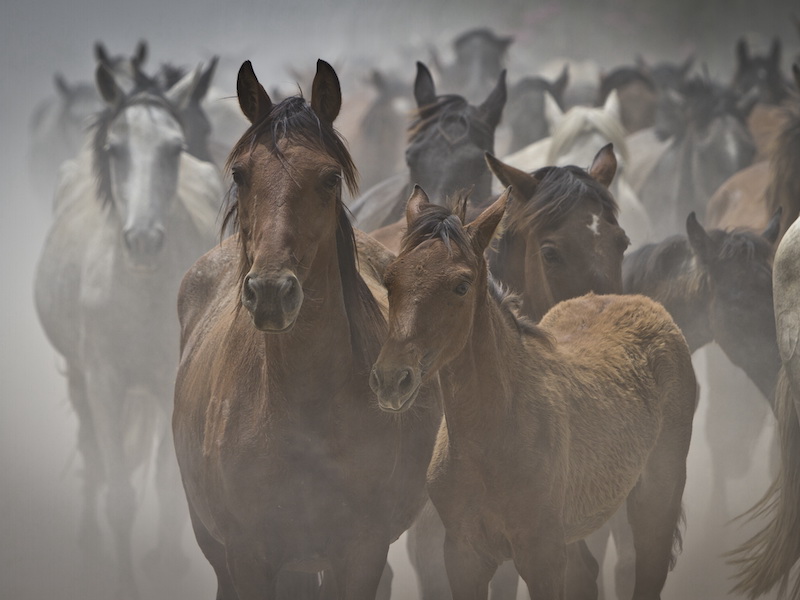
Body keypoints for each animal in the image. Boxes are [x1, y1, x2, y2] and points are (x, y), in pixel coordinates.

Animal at [372, 188, 696, 600]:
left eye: (461, 285)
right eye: (390, 280)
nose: (391, 378)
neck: (491, 435)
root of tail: (643, 303)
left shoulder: (542, 555)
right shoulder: (463, 555)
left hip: (656, 496)